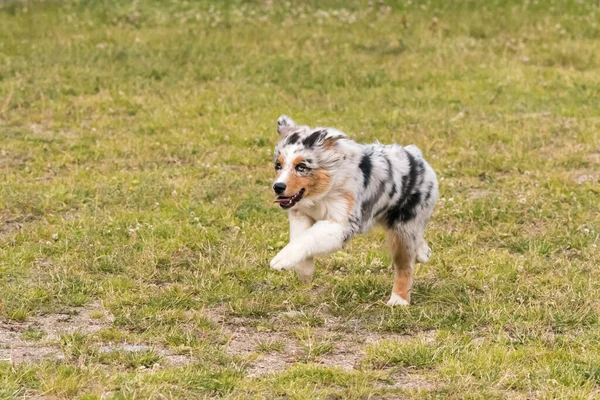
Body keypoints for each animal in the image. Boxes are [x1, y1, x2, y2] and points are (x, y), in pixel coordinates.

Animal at [270, 115, 438, 306]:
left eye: (301, 167)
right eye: (278, 165)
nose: (278, 187)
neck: (322, 193)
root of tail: (416, 155)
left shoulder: (343, 223)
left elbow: (309, 236)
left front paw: (280, 260)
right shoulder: (301, 213)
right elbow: (298, 237)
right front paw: (305, 272)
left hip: (405, 224)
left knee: (405, 265)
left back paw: (398, 300)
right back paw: (424, 253)